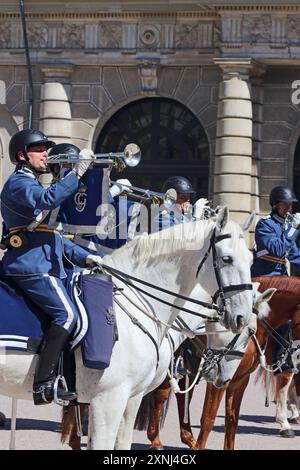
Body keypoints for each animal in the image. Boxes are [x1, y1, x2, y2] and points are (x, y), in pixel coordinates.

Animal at [0, 207, 253, 450]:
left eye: (250, 260)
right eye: (227, 258)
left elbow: (123, 442)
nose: (242, 318)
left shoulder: (131, 397)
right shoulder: (108, 399)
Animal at [144, 278, 300, 450]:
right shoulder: (218, 381)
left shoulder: (239, 381)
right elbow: (208, 418)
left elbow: (232, 420)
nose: (293, 356)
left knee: (181, 395)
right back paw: (157, 440)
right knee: (161, 394)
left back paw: (186, 438)